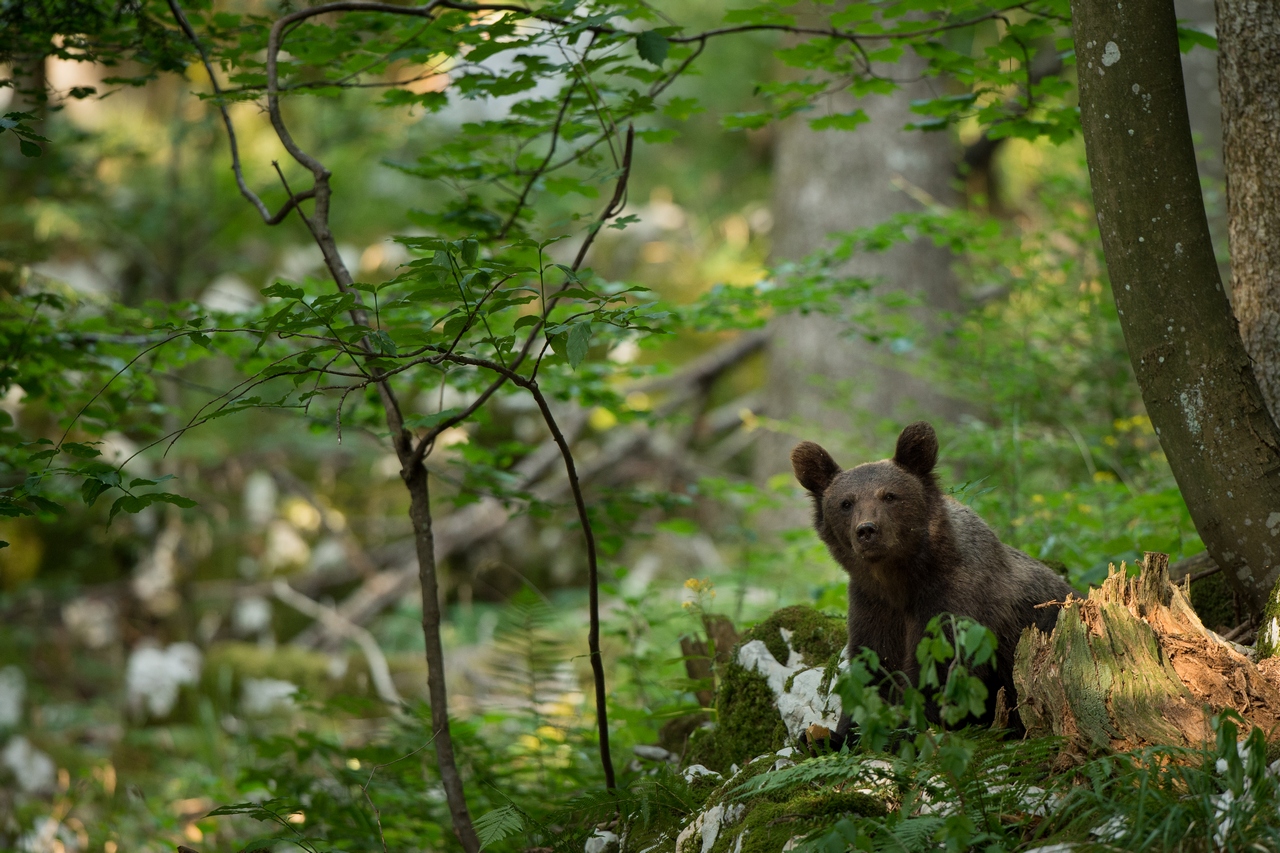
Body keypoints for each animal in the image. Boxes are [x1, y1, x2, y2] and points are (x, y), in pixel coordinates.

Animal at [791, 421, 1075, 739]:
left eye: (889, 495)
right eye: (845, 503)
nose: (866, 530)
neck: (900, 580)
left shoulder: (954, 597)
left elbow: (940, 670)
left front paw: (903, 729)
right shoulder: (872, 605)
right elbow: (873, 669)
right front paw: (828, 736)